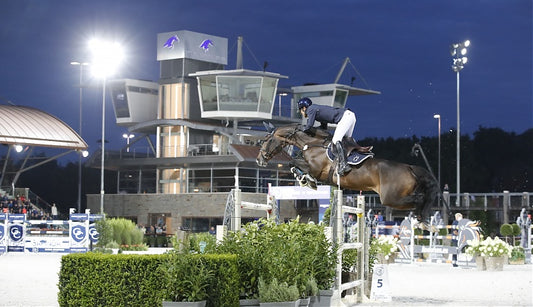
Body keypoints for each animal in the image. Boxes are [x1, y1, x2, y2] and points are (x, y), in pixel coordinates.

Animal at [256, 124, 438, 223]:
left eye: (265, 140)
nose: (259, 160)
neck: (313, 143)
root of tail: (410, 168)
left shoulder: (315, 168)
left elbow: (293, 163)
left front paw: (305, 179)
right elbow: (294, 163)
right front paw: (303, 178)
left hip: (390, 198)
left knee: (419, 198)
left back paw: (422, 218)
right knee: (420, 198)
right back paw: (423, 220)